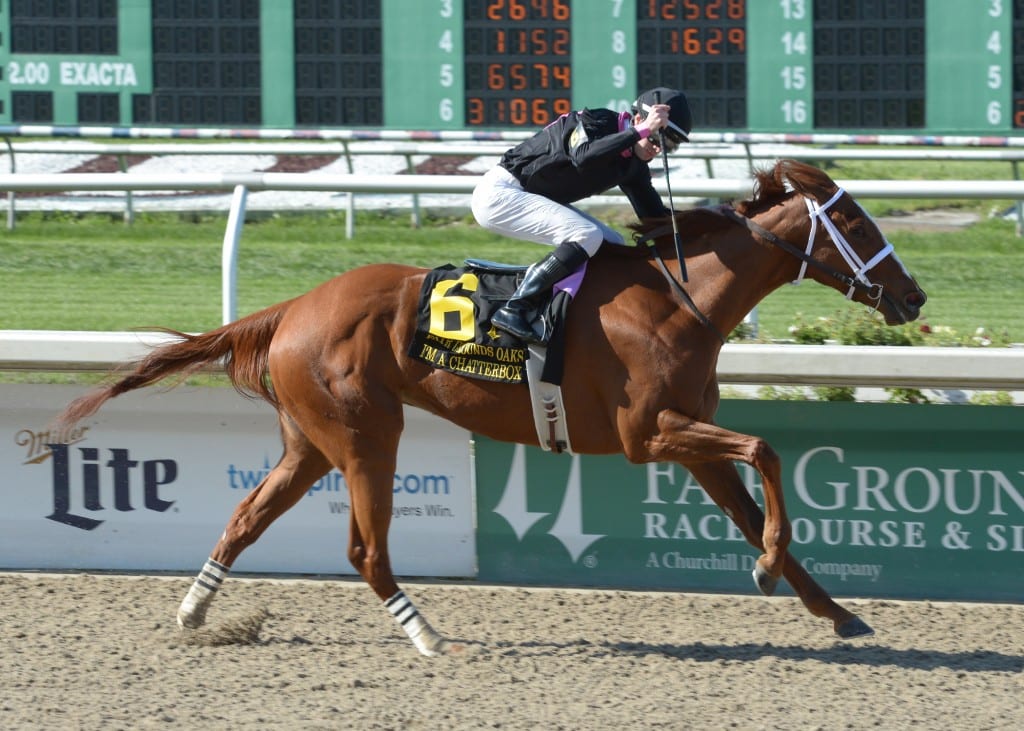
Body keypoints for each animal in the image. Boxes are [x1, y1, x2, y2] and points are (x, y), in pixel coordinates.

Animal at [56, 159, 929, 655]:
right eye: (855, 224)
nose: (914, 296)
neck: (680, 302)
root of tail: (294, 306)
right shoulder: (651, 435)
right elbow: (766, 451)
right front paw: (770, 568)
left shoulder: (686, 438)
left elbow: (750, 499)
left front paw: (829, 607)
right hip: (366, 433)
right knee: (365, 550)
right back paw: (427, 635)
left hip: (309, 442)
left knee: (246, 517)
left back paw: (195, 612)